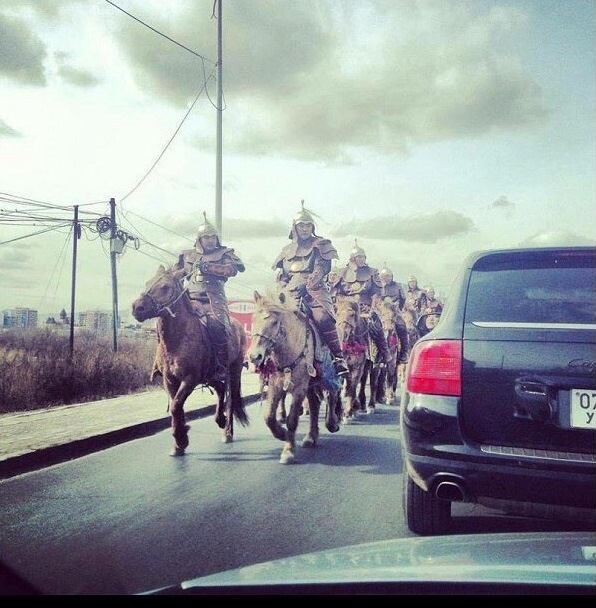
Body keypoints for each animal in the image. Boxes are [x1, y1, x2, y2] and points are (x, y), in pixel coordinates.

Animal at [132, 266, 248, 456]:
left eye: (165, 287)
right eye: (148, 283)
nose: (137, 308)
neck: (178, 338)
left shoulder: (190, 379)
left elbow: (176, 405)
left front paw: (181, 438)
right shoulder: (169, 379)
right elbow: (175, 406)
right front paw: (178, 443)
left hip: (234, 370)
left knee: (230, 399)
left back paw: (227, 433)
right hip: (211, 375)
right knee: (220, 389)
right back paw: (219, 420)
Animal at [247, 290, 340, 466]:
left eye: (275, 322)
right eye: (253, 319)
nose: (255, 356)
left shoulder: (299, 389)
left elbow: (292, 420)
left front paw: (288, 451)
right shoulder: (275, 385)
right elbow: (269, 417)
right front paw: (282, 434)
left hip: (327, 375)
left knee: (332, 394)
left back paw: (332, 423)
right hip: (311, 385)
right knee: (315, 405)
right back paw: (311, 437)